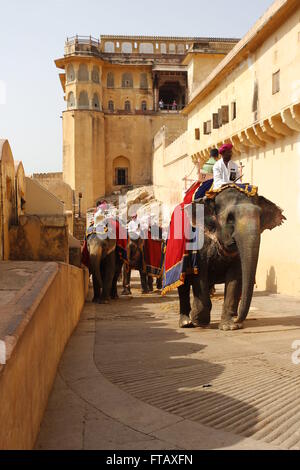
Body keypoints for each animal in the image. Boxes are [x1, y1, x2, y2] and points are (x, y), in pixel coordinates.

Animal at [178, 186, 286, 330]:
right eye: (230, 218)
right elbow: (200, 275)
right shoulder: (200, 246)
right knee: (182, 284)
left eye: (259, 216)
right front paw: (199, 321)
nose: (237, 319)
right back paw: (186, 322)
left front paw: (229, 326)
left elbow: (235, 277)